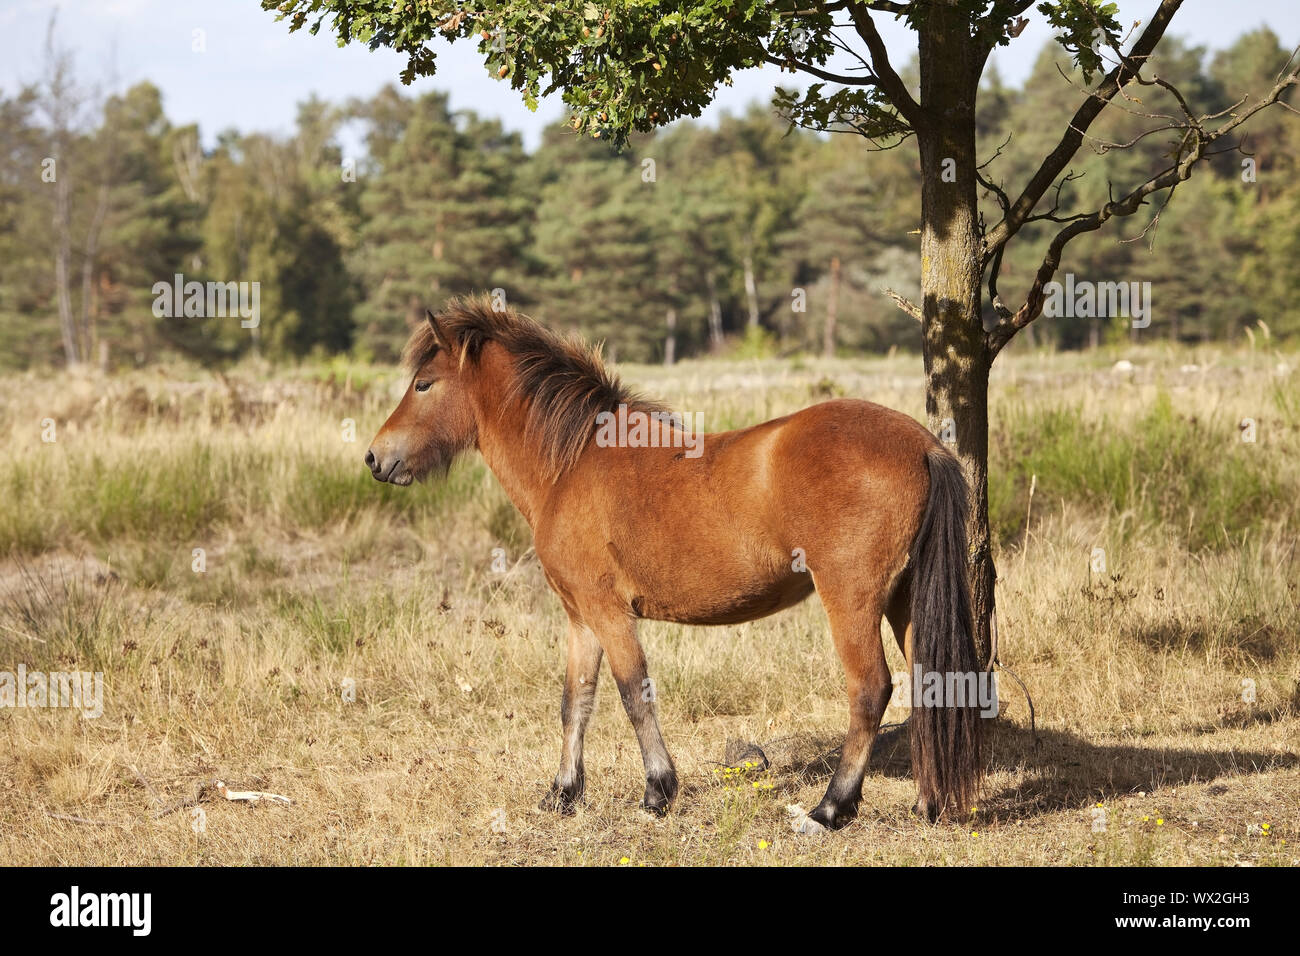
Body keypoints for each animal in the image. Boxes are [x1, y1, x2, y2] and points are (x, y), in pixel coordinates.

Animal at [369, 295, 982, 827]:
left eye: (423, 383)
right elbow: (576, 701)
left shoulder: (609, 612)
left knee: (870, 689)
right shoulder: (580, 617)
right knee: (930, 683)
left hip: (851, 598)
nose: (376, 457)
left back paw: (830, 808)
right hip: (904, 599)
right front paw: (563, 794)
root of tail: (923, 444)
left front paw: (657, 792)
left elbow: (632, 694)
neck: (572, 463)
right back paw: (929, 803)